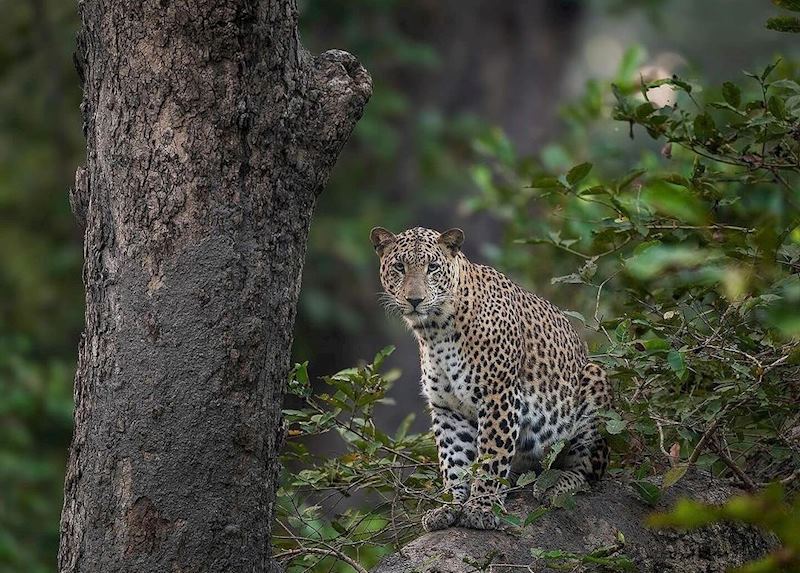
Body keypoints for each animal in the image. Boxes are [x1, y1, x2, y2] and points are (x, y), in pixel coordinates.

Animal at [370, 226, 611, 531]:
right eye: (399, 267)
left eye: (432, 267)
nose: (415, 300)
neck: (435, 331)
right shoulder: (447, 407)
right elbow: (454, 460)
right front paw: (450, 504)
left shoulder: (499, 395)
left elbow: (491, 454)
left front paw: (481, 506)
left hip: (594, 384)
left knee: (589, 471)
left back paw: (554, 484)